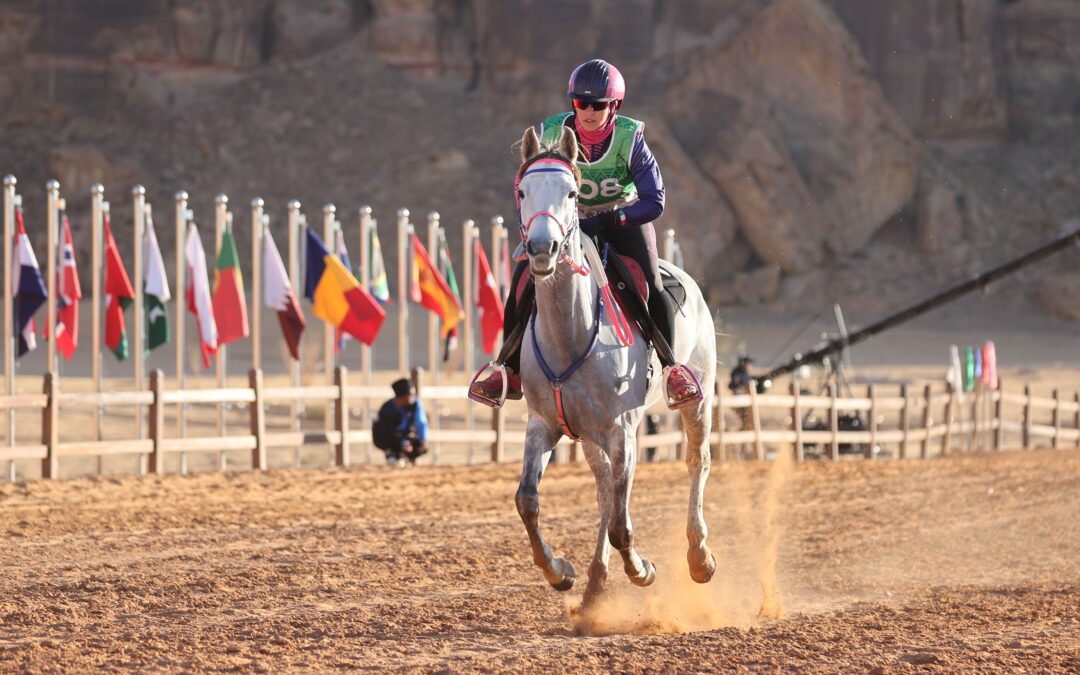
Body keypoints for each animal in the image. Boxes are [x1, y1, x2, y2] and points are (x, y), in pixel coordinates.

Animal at [514, 125, 717, 600]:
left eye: (572, 193)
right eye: (522, 191)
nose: (542, 248)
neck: (570, 335)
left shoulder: (621, 432)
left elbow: (623, 526)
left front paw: (642, 570)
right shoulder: (543, 425)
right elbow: (527, 501)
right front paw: (559, 570)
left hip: (698, 400)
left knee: (696, 461)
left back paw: (699, 558)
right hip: (586, 435)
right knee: (605, 488)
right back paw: (594, 581)